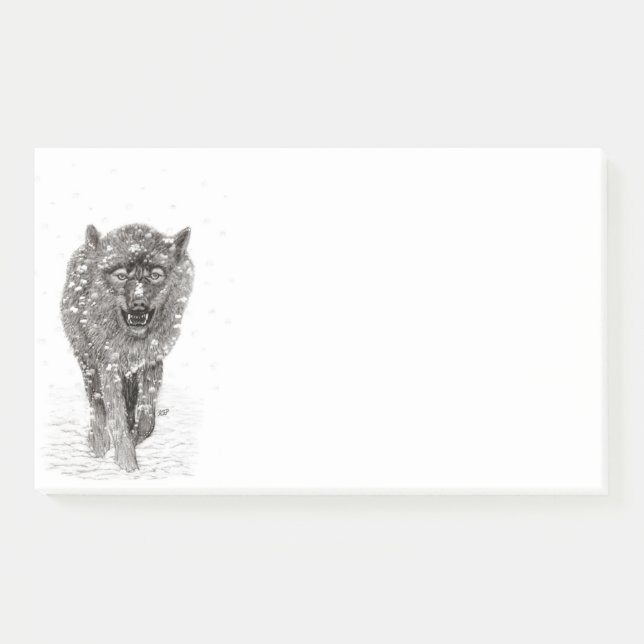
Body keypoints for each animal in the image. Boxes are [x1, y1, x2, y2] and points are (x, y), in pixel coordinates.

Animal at [60, 223, 193, 471]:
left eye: (155, 275)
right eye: (121, 276)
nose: (139, 304)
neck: (132, 342)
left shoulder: (152, 362)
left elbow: (147, 420)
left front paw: (132, 441)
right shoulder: (108, 366)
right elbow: (115, 416)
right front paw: (126, 462)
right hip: (88, 363)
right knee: (96, 403)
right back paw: (98, 442)